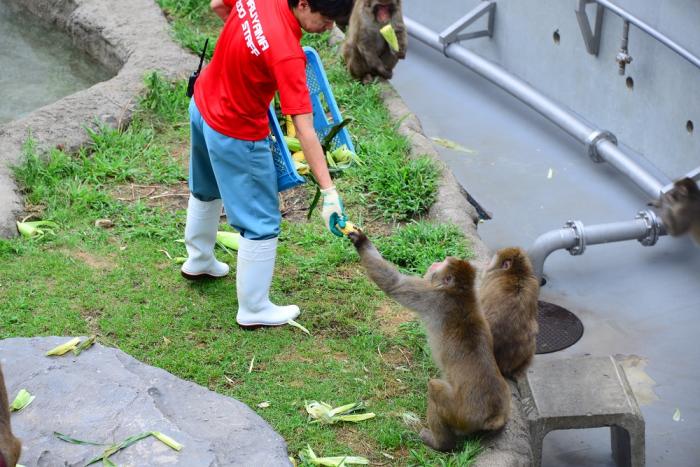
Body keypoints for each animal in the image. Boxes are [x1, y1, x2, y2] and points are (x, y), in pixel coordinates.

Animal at [348, 231, 508, 454]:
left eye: (443, 263)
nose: (435, 262)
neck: (460, 292)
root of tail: (493, 414)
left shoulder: (430, 296)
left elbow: (394, 283)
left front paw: (360, 241)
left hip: (459, 412)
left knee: (434, 388)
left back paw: (439, 443)